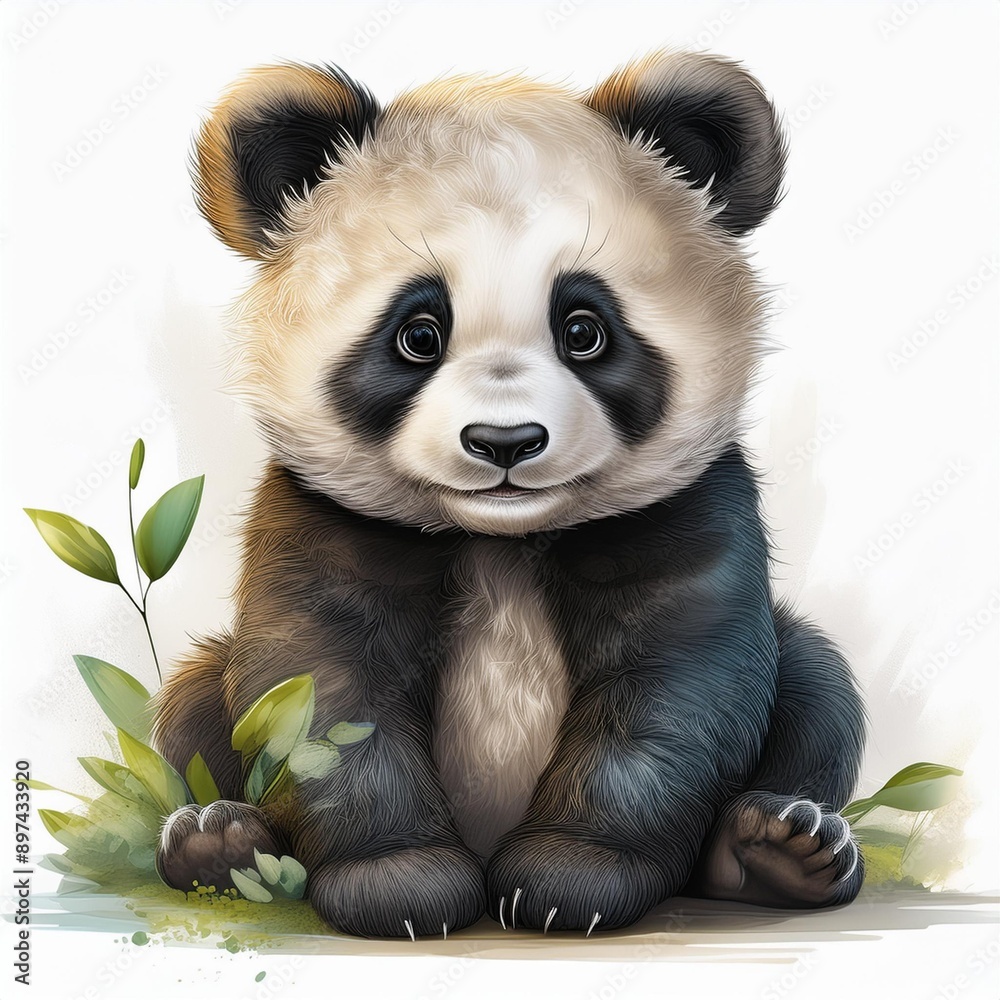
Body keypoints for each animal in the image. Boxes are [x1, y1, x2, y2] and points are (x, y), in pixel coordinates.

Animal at [152, 50, 867, 939]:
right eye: (418, 334)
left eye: (585, 329)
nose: (505, 442)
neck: (499, 538)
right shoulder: (321, 514)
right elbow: (323, 688)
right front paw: (400, 884)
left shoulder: (690, 508)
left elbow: (671, 685)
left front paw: (570, 878)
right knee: (191, 708)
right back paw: (220, 845)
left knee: (816, 687)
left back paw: (777, 849)